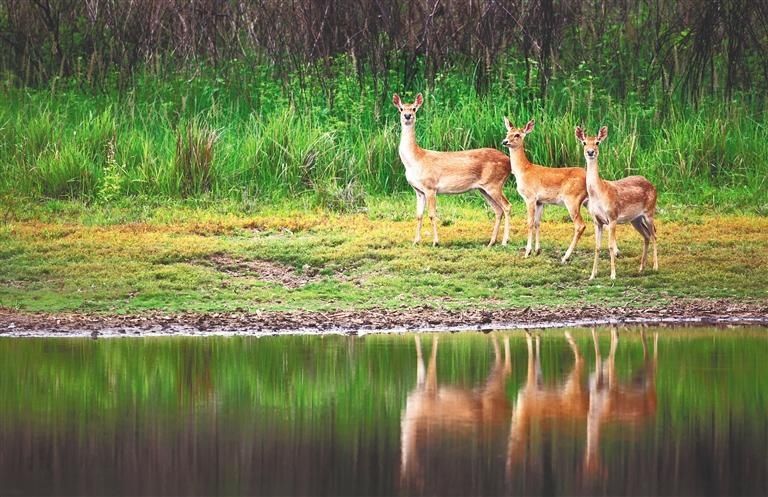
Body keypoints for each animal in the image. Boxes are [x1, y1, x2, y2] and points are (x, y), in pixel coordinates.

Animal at [392, 92, 512, 246]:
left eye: (414, 108)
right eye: (401, 109)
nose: (407, 115)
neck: (416, 159)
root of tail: (509, 161)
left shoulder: (430, 187)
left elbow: (432, 215)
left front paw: (435, 242)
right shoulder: (418, 191)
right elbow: (418, 215)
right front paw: (415, 241)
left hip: (494, 184)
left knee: (507, 206)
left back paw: (504, 241)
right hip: (484, 189)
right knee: (498, 210)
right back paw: (491, 242)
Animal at [400, 334, 512, 488]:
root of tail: (507, 409)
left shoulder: (430, 388)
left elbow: (432, 357)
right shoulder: (421, 385)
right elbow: (420, 357)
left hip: (492, 391)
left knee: (506, 368)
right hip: (486, 387)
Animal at [500, 118, 592, 262]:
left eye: (517, 135)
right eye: (507, 132)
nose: (505, 141)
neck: (524, 170)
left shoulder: (530, 197)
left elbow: (530, 222)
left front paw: (527, 252)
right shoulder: (540, 201)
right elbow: (538, 223)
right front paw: (537, 250)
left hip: (572, 199)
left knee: (580, 225)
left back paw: (565, 257)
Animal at [572, 125, 656, 280]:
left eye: (597, 142)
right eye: (584, 142)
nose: (591, 152)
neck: (599, 193)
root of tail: (652, 185)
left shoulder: (612, 217)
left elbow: (610, 246)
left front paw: (613, 275)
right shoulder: (597, 221)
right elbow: (597, 247)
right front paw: (592, 275)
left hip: (649, 212)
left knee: (654, 235)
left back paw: (655, 267)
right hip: (635, 219)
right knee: (646, 236)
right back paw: (641, 268)